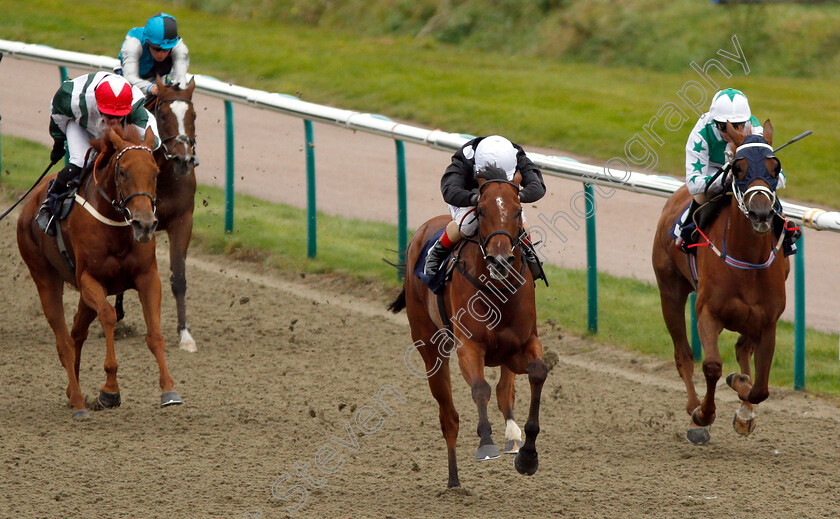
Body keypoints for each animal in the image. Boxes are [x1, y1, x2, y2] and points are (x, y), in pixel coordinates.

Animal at [17, 121, 183, 418]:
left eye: (155, 172)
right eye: (123, 171)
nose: (144, 224)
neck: (115, 224)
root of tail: (28, 205)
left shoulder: (148, 277)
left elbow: (155, 335)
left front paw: (169, 390)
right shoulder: (90, 280)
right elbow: (108, 315)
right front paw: (110, 390)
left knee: (76, 332)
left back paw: (72, 392)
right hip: (44, 277)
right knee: (64, 342)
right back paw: (79, 403)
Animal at [115, 76, 199, 354]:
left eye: (193, 115)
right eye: (162, 114)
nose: (184, 160)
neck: (162, 176)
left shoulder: (183, 221)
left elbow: (179, 277)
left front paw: (185, 335)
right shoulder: (138, 224)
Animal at [388, 169, 548, 490]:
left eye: (518, 210)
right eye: (481, 210)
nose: (500, 261)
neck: (497, 290)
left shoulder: (521, 345)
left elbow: (535, 374)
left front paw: (527, 456)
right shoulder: (469, 347)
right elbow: (480, 388)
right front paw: (486, 443)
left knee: (504, 392)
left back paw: (512, 438)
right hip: (429, 346)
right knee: (448, 416)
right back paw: (453, 480)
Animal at [652, 119, 792, 446]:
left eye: (775, 166)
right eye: (737, 168)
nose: (761, 213)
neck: (747, 261)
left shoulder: (768, 322)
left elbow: (760, 387)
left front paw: (743, 404)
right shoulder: (708, 312)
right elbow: (712, 366)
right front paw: (703, 415)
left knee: (742, 349)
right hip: (670, 292)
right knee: (683, 355)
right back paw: (694, 410)